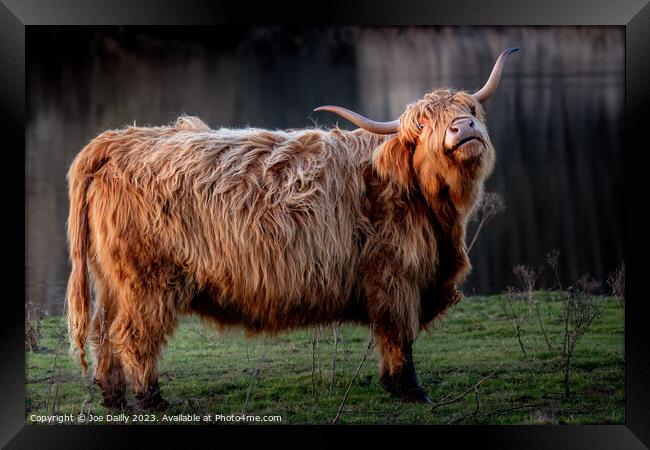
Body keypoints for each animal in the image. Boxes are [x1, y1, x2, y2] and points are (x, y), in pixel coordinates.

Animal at [67, 47, 516, 410]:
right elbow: (397, 335)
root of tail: (117, 141)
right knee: (132, 335)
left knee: (104, 332)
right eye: (421, 125)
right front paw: (410, 391)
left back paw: (113, 397)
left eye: (470, 110)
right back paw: (151, 398)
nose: (463, 129)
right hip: (147, 280)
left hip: (113, 280)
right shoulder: (395, 276)